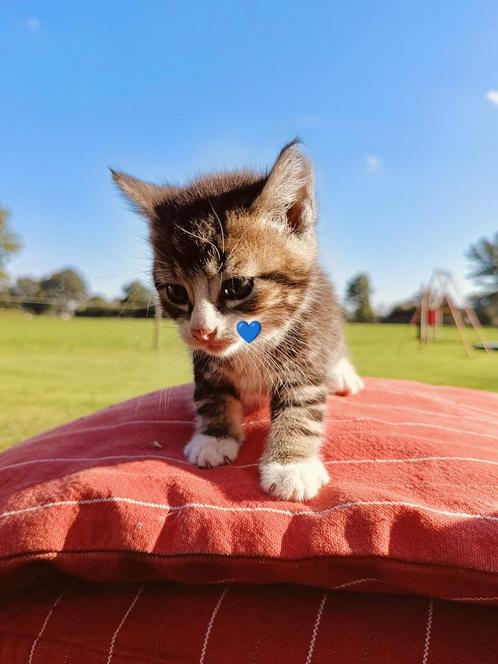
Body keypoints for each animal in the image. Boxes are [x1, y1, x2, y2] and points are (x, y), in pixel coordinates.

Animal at [111, 141, 364, 504]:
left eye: (237, 287)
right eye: (176, 292)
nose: (202, 330)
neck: (253, 345)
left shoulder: (307, 347)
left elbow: (301, 406)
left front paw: (291, 465)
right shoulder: (205, 361)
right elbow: (211, 392)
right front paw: (215, 437)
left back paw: (342, 373)